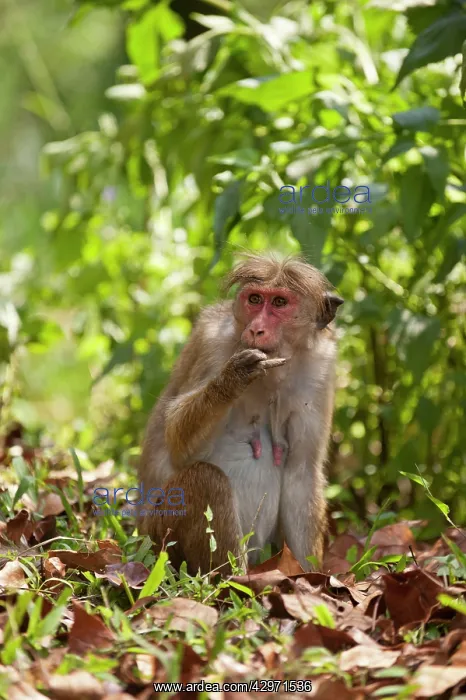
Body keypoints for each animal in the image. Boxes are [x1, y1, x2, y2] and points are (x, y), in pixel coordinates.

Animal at [138, 253, 344, 574]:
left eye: (280, 303)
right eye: (255, 299)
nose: (256, 329)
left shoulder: (321, 370)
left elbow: (301, 474)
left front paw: (311, 579)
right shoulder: (211, 342)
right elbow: (176, 444)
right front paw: (232, 378)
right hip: (159, 537)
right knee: (207, 478)